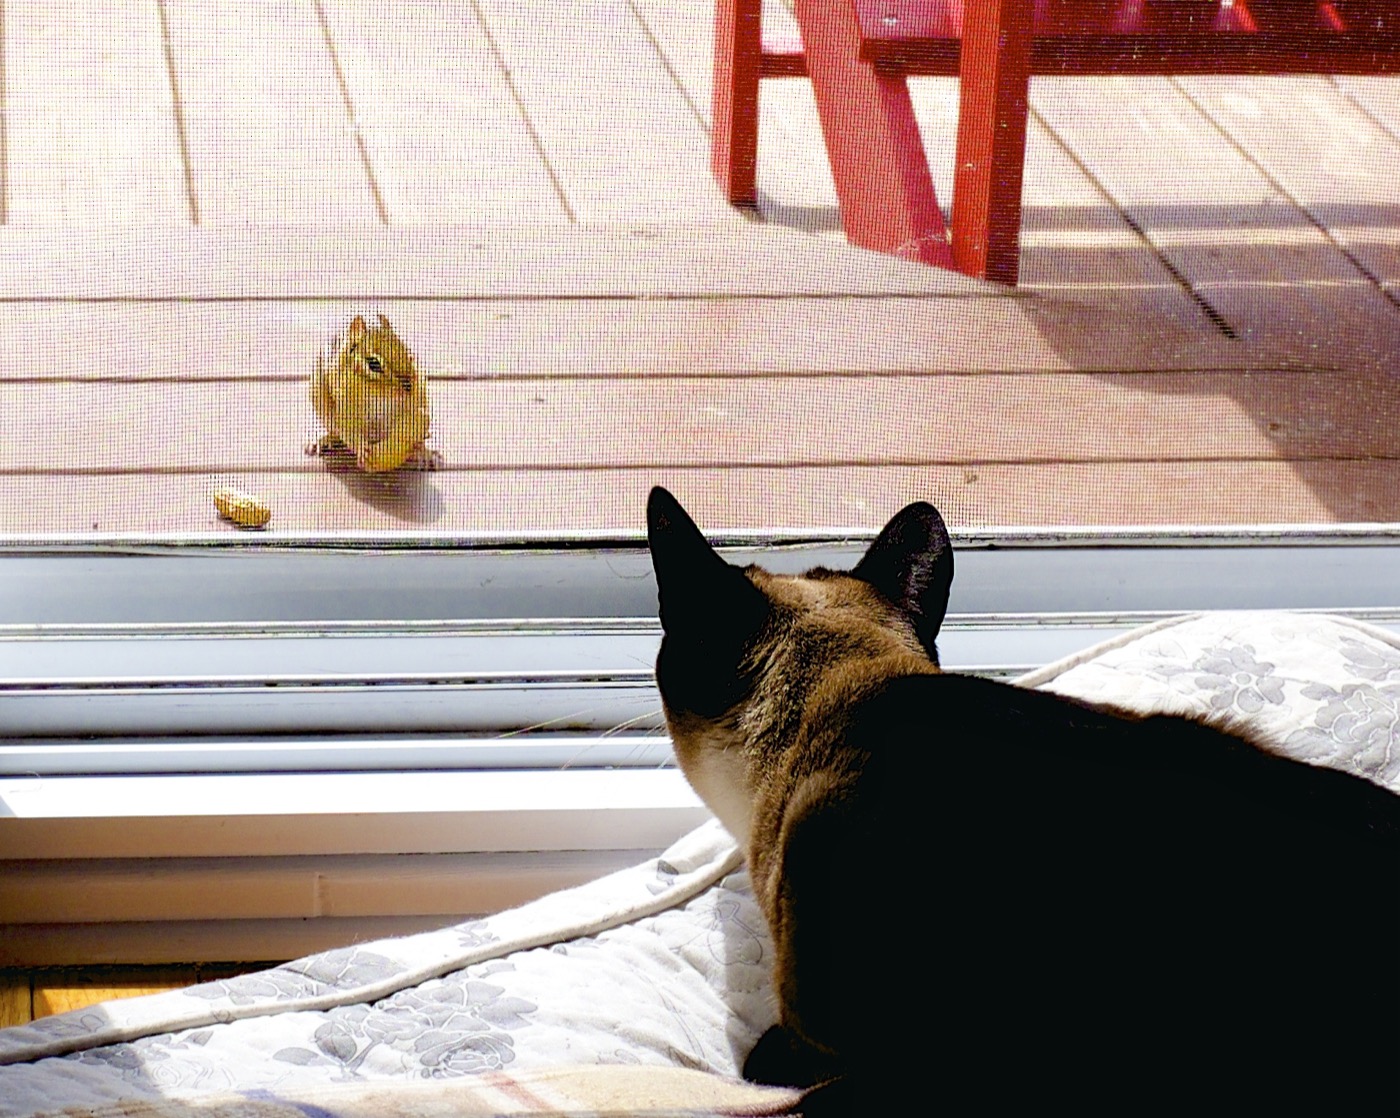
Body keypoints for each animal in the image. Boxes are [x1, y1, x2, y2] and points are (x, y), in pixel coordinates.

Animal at [304, 314, 442, 472]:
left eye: (408, 353)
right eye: (374, 364)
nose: (409, 386)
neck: (376, 392)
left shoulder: (413, 401)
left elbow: (416, 418)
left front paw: (420, 447)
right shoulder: (344, 403)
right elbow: (346, 429)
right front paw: (361, 449)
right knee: (335, 430)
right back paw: (325, 440)